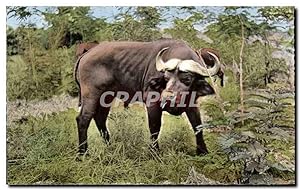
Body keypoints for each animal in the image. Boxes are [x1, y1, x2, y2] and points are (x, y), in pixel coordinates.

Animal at [75, 38, 223, 156]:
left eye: (187, 78)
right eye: (166, 78)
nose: (167, 98)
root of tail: (87, 54)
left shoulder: (192, 104)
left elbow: (197, 125)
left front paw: (203, 151)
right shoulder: (152, 104)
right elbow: (154, 127)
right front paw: (154, 152)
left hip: (107, 97)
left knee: (100, 118)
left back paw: (109, 146)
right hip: (91, 95)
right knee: (83, 119)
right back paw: (83, 153)